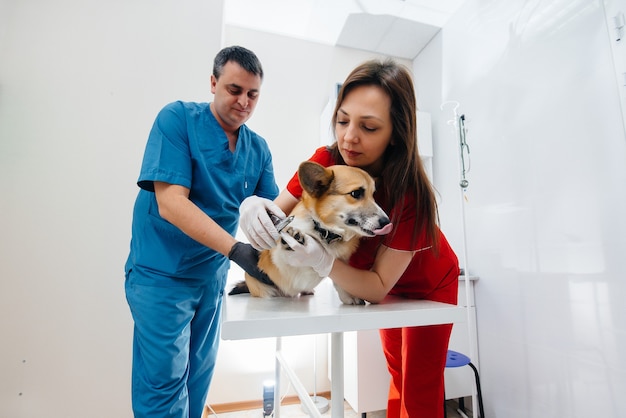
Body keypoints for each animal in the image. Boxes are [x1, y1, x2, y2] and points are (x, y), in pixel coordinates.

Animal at [227, 162, 392, 306]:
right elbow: (282, 258)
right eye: (356, 193)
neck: (324, 232)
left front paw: (348, 296)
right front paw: (291, 241)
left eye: (373, 195)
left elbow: (339, 281)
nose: (387, 222)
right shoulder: (280, 266)